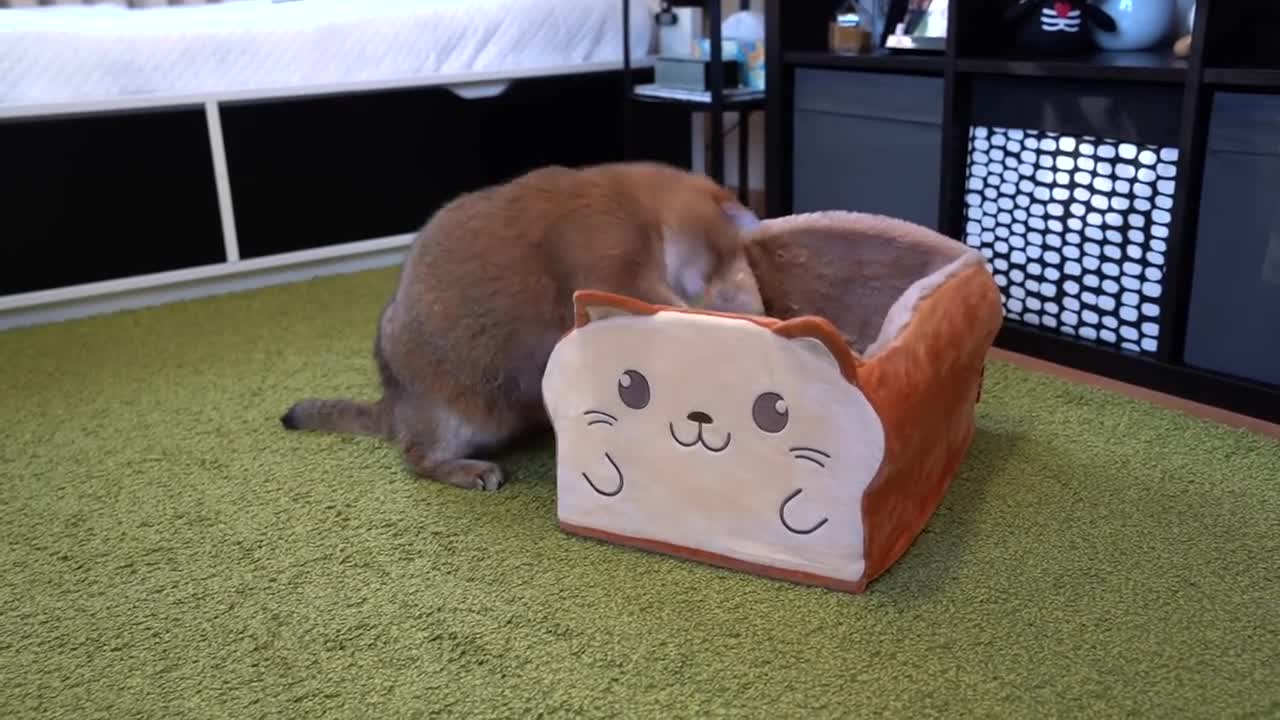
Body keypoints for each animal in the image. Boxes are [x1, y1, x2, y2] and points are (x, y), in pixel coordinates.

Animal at [280, 161, 762, 486]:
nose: (732, 294)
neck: (645, 210)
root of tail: (394, 404)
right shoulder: (613, 266)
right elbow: (656, 300)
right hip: (451, 416)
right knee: (415, 457)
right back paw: (469, 469)